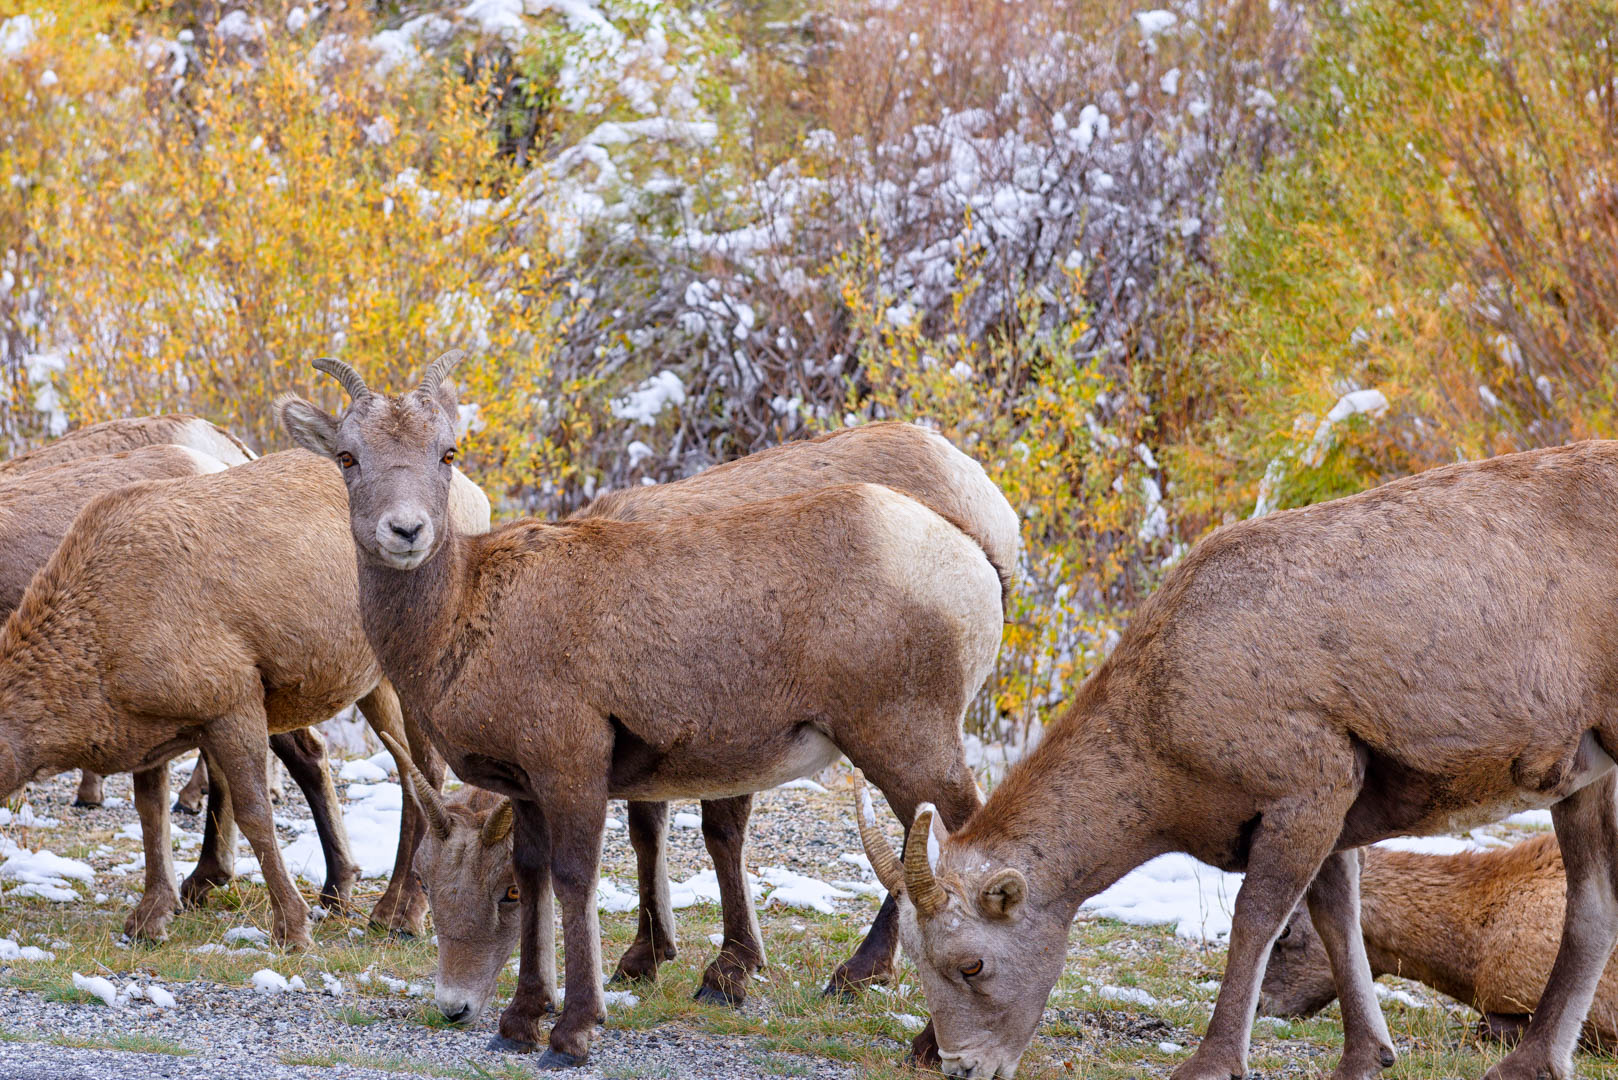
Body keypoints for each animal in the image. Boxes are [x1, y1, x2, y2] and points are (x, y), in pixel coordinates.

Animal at [277, 353, 1005, 1066]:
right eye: (348, 456)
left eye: (447, 452)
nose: (406, 531)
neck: (464, 614)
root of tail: (969, 552)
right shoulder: (529, 788)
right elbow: (542, 875)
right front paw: (519, 1022)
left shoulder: (572, 769)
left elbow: (576, 880)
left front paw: (573, 1032)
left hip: (906, 741)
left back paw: (923, 1039)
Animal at [856, 439, 1618, 1080]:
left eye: (972, 965)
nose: (962, 1067)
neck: (1162, 720)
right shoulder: (1333, 816)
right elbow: (1338, 920)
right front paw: (1364, 1058)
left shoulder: (1305, 796)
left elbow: (1255, 921)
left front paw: (1212, 1063)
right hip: (1585, 777)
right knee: (1593, 907)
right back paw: (1532, 1065)